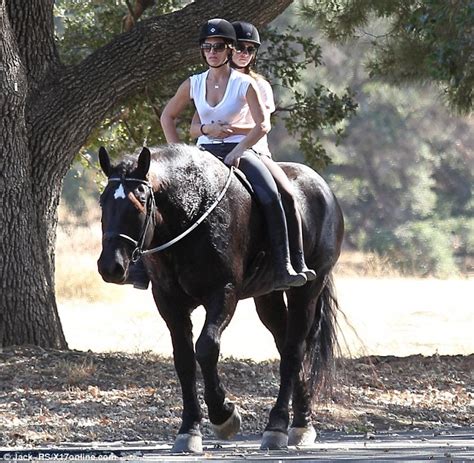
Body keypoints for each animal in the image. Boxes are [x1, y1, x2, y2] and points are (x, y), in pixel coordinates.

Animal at [97, 145, 344, 454]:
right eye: (102, 202)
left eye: (139, 202)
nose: (110, 266)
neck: (191, 211)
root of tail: (323, 188)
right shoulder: (168, 301)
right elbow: (184, 359)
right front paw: (189, 430)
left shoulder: (224, 293)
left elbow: (206, 348)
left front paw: (223, 415)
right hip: (269, 296)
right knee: (285, 342)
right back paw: (301, 423)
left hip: (307, 290)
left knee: (293, 350)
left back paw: (277, 427)